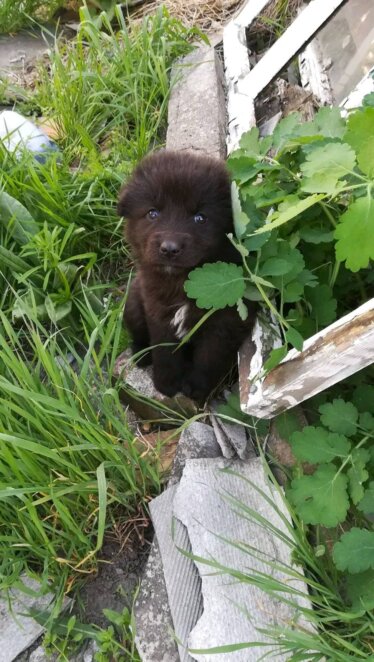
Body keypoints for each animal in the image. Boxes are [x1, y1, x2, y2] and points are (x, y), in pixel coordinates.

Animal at [118, 150, 256, 400]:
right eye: (152, 213)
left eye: (200, 218)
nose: (169, 248)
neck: (184, 283)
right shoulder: (158, 312)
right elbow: (164, 352)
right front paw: (166, 384)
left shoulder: (224, 322)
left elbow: (209, 358)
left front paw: (195, 389)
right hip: (133, 302)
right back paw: (141, 355)